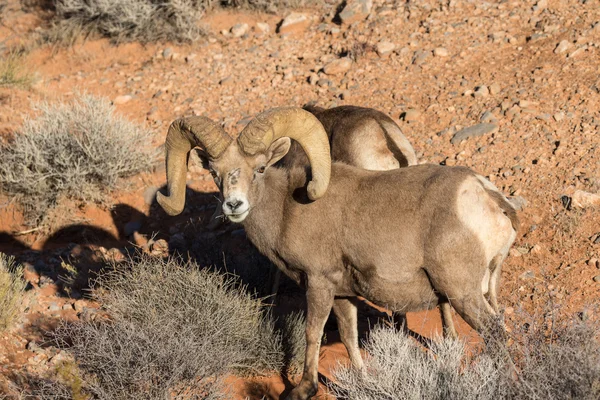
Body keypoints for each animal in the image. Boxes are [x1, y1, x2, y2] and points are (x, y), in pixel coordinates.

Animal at [157, 108, 516, 400]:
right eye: (215, 173)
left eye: (259, 168)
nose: (234, 205)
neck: (286, 210)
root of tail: (487, 197)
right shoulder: (343, 294)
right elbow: (348, 336)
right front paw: (362, 382)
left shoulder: (319, 283)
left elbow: (312, 332)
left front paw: (303, 389)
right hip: (478, 290)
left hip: (462, 293)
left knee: (495, 332)